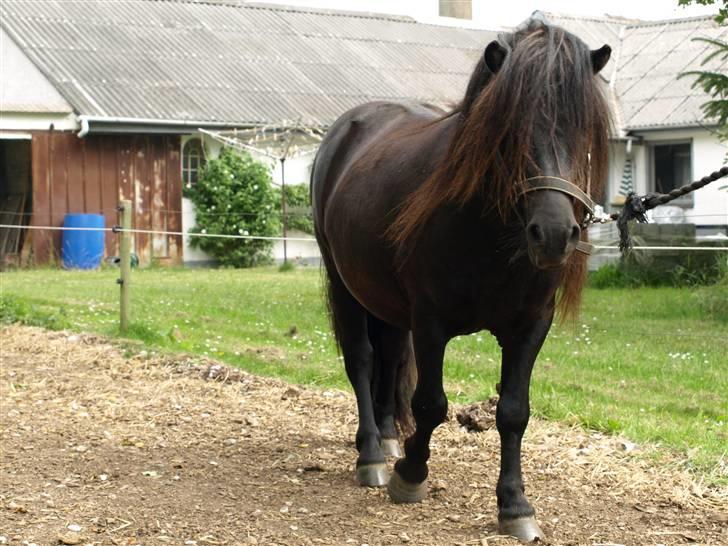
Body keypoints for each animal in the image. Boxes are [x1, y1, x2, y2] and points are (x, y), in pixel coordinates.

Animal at [310, 17, 612, 540]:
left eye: (583, 128)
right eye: (508, 128)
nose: (554, 235)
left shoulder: (530, 326)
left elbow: (513, 411)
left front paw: (515, 505)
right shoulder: (431, 322)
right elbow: (431, 403)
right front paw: (411, 475)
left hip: (388, 304)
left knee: (390, 358)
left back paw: (388, 438)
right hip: (345, 285)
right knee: (363, 361)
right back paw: (372, 454)